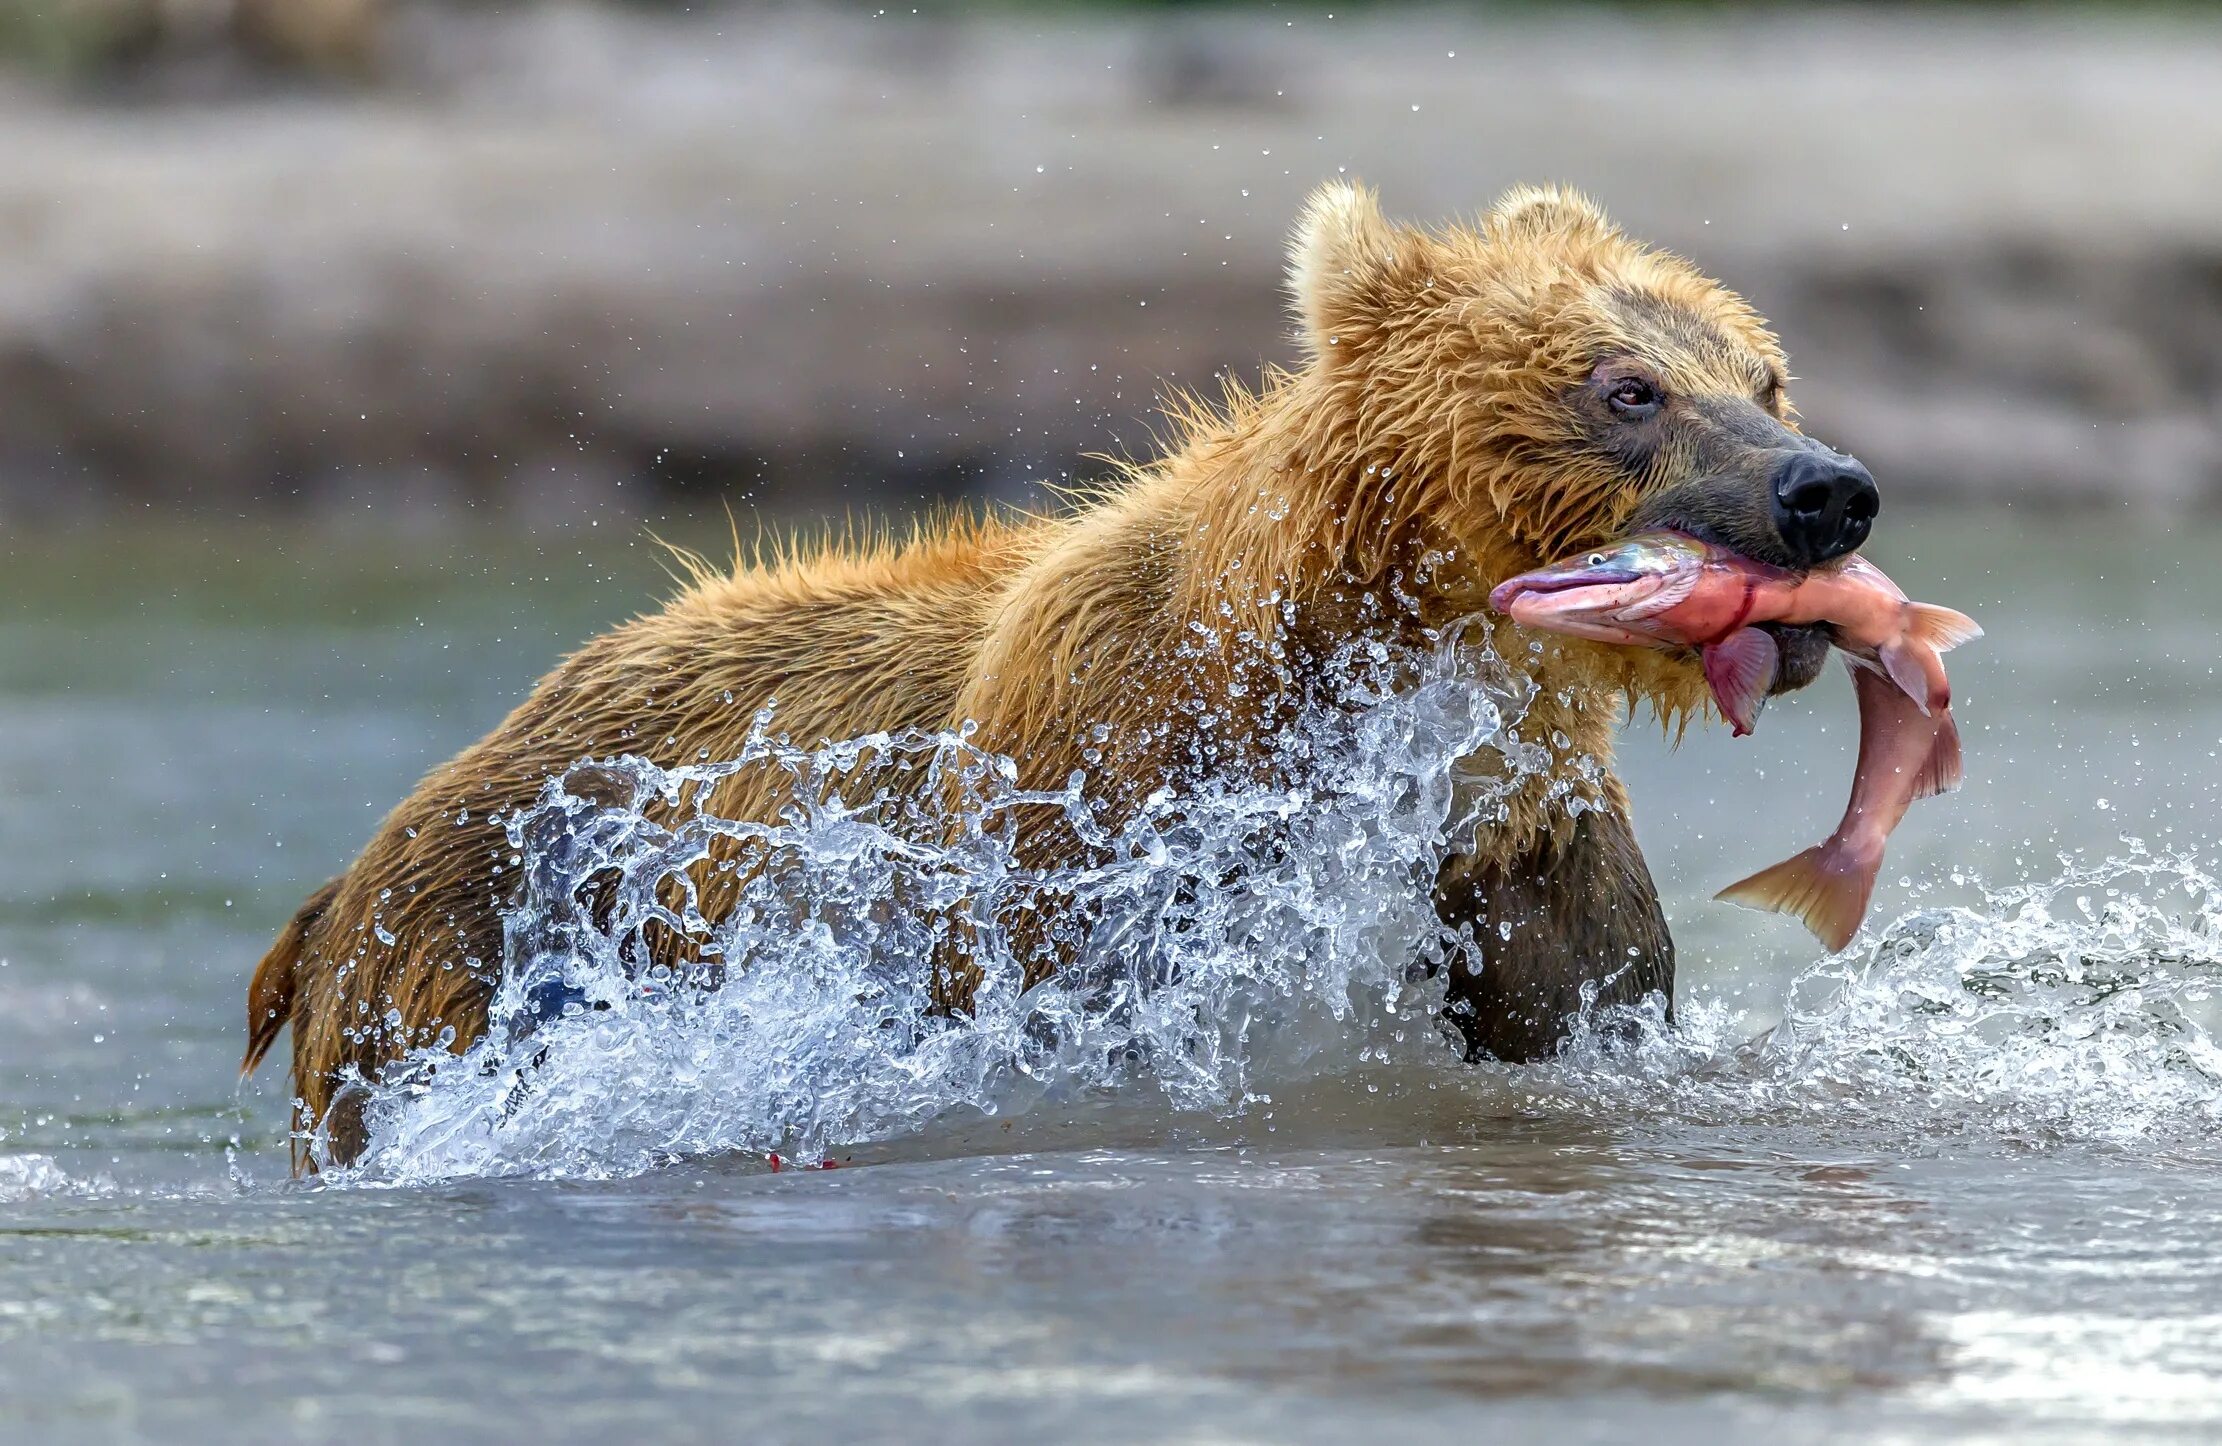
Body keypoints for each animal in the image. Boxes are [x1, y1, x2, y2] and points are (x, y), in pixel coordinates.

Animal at [243, 186, 1875, 1172]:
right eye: (1626, 387)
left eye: (1761, 372)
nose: (1824, 491)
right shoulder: (1098, 803)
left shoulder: (1518, 839)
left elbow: (1576, 1007)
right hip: (467, 956)